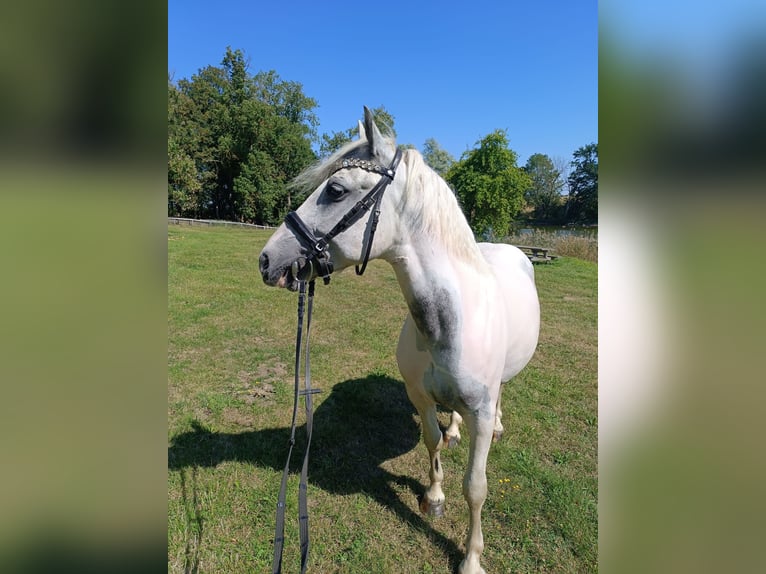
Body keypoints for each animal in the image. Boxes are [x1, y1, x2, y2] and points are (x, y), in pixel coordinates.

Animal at [259, 107, 540, 574]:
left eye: (335, 190)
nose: (267, 260)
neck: (448, 325)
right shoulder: (421, 398)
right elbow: (432, 443)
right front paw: (435, 498)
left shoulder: (480, 411)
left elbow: (476, 487)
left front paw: (471, 558)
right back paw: (455, 430)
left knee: (501, 396)